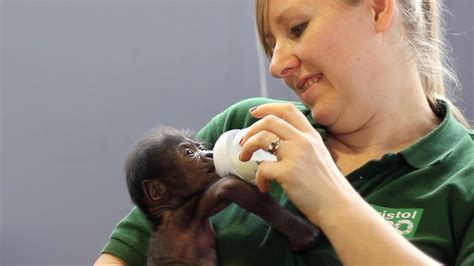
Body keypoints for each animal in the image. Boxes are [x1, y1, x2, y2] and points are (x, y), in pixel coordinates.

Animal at [126, 128, 320, 264]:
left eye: (201, 147)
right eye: (189, 153)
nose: (209, 153)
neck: (165, 211)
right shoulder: (190, 211)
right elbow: (229, 186)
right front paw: (303, 232)